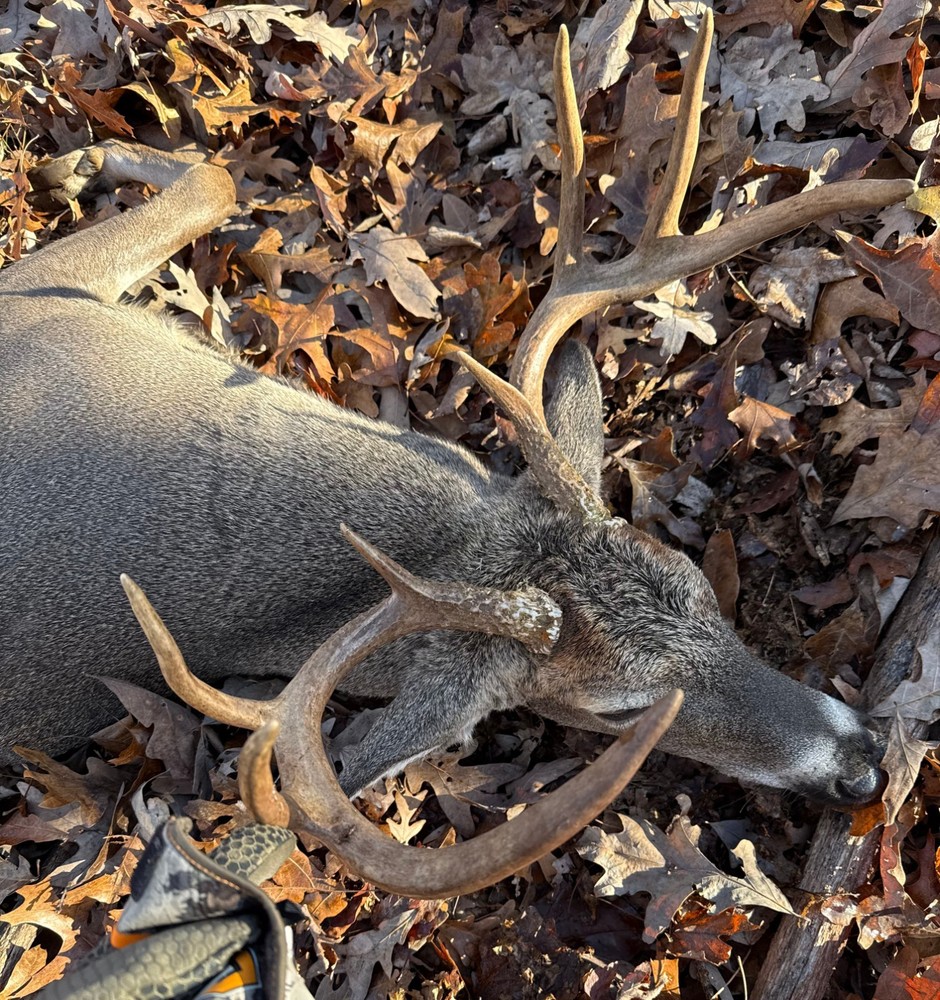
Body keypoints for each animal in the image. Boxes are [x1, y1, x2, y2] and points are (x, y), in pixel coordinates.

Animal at [0, 12, 913, 895]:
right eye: (619, 709)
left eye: (701, 588)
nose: (862, 767)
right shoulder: (34, 297)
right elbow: (211, 178)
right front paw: (81, 163)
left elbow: (214, 179)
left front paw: (81, 163)